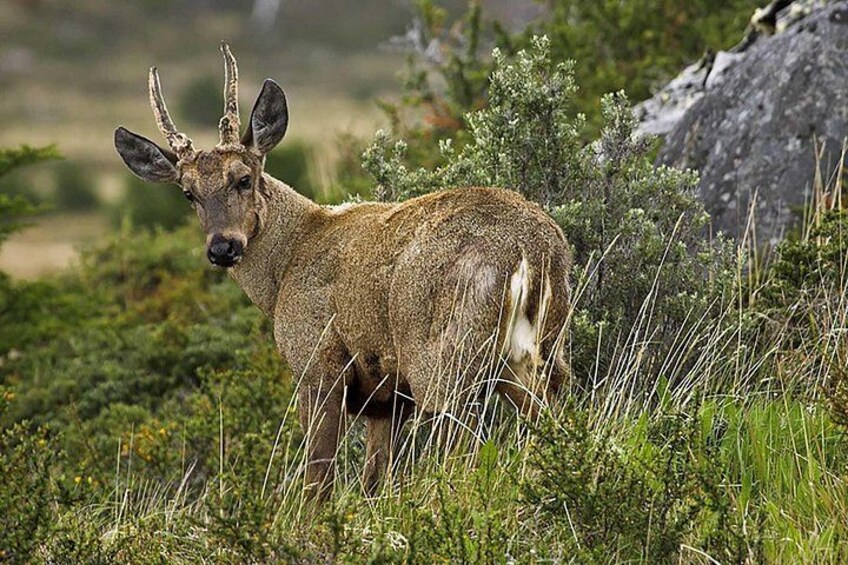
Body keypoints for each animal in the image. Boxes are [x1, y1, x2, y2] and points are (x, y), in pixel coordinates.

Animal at [114, 43, 572, 500]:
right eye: (188, 193)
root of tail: (530, 246)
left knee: (461, 450)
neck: (288, 261)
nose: (222, 247)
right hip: (539, 352)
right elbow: (375, 480)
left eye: (243, 178)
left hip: (443, 356)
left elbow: (318, 480)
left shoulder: (318, 367)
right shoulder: (385, 399)